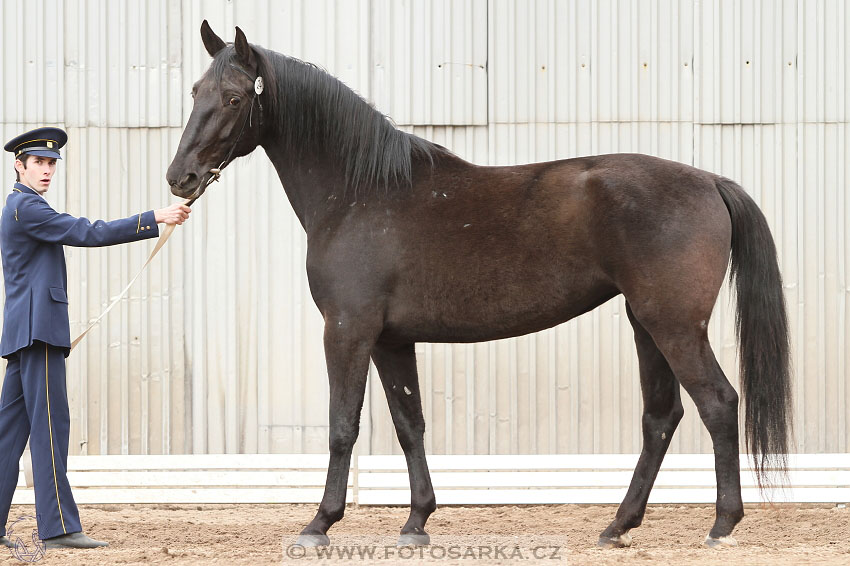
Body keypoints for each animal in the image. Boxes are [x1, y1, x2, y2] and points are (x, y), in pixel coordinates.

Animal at [169, 22, 792, 552]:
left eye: (234, 98)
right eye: (196, 90)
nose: (180, 178)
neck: (360, 193)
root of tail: (709, 180)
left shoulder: (348, 331)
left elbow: (343, 425)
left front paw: (320, 523)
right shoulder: (391, 340)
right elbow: (410, 424)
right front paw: (417, 521)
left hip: (675, 326)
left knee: (718, 403)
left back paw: (721, 526)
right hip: (647, 324)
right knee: (661, 417)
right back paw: (618, 525)